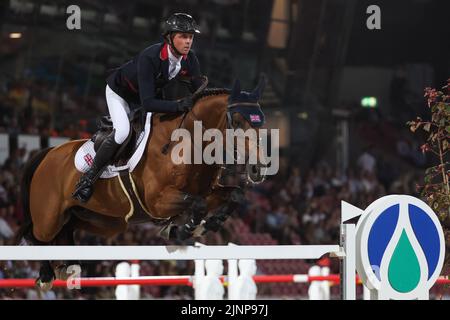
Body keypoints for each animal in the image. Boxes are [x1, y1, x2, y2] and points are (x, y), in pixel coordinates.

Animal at [15, 76, 268, 288]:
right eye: (237, 122)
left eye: (261, 122)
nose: (259, 169)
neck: (191, 143)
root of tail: (47, 153)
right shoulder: (159, 202)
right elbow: (198, 205)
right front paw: (184, 230)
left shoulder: (208, 191)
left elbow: (234, 195)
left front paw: (208, 224)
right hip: (49, 217)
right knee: (36, 235)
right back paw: (47, 274)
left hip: (100, 220)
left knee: (65, 230)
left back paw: (68, 267)